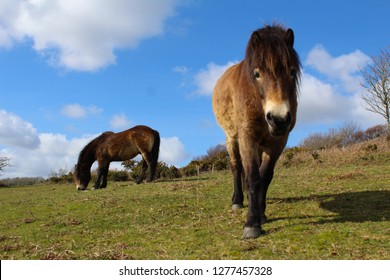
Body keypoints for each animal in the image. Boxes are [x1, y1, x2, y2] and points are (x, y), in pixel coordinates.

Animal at [212, 24, 300, 238]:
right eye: (257, 73)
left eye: (292, 72)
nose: (278, 119)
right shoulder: (247, 137)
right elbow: (252, 176)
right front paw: (252, 224)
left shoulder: (278, 141)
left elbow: (264, 176)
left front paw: (261, 214)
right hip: (232, 138)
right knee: (236, 167)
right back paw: (237, 200)